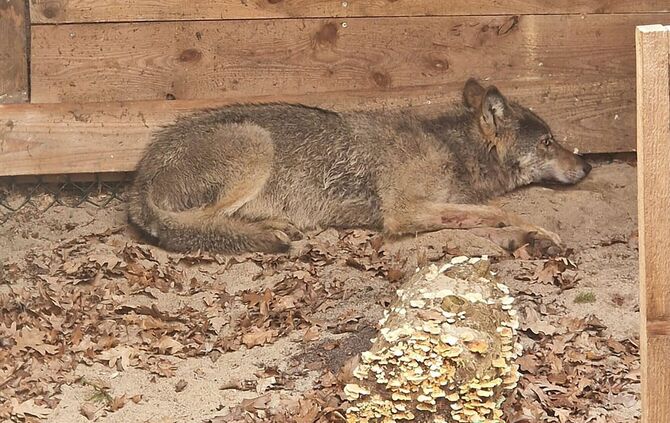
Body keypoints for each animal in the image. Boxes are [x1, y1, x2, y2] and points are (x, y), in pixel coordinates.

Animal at [127, 79, 591, 254]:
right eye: (549, 142)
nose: (587, 165)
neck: (450, 148)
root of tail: (138, 179)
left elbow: (482, 217)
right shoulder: (402, 213)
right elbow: (500, 211)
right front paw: (538, 233)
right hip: (256, 144)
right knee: (200, 225)